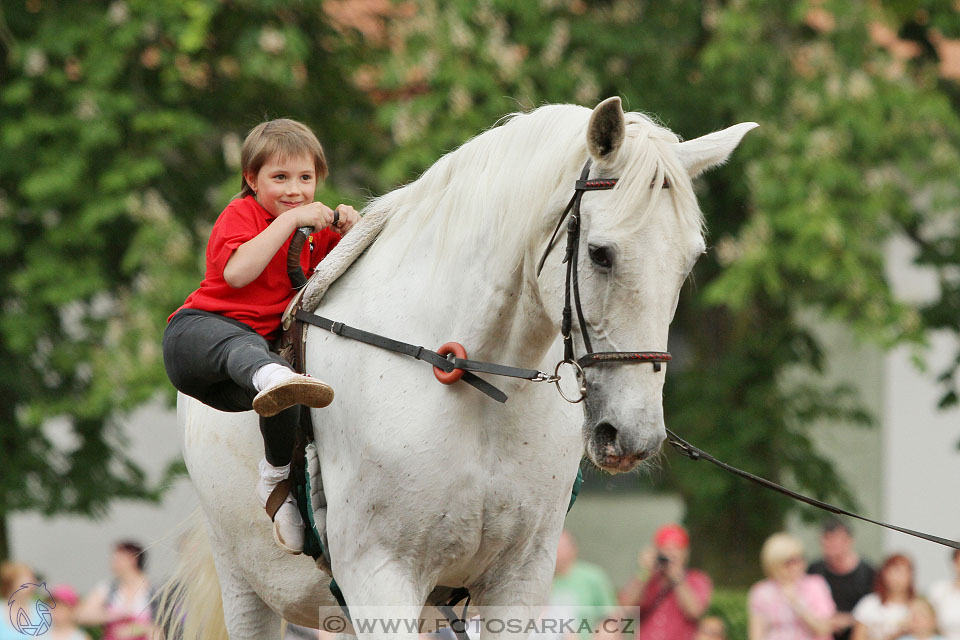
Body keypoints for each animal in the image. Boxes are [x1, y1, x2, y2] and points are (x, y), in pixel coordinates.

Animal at [171, 99, 756, 640]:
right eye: (600, 253)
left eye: (690, 261)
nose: (632, 434)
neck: (468, 380)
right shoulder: (380, 578)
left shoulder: (517, 581)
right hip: (246, 586)